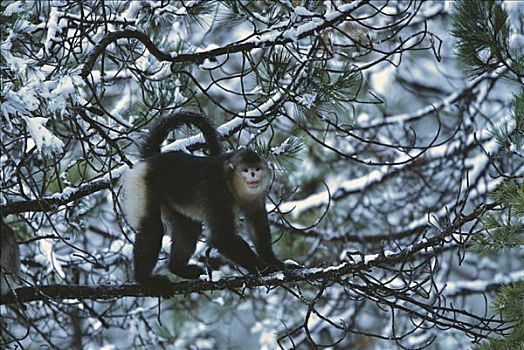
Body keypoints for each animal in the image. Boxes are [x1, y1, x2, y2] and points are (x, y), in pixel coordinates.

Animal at [122, 112, 286, 284]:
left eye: (257, 169)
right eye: (246, 170)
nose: (253, 175)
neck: (233, 184)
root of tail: (151, 158)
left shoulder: (257, 196)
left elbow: (256, 222)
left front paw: (273, 261)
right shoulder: (217, 193)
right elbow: (222, 237)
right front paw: (266, 269)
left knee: (188, 229)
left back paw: (177, 268)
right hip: (144, 183)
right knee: (152, 228)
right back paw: (144, 279)